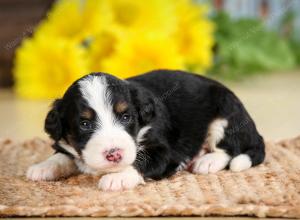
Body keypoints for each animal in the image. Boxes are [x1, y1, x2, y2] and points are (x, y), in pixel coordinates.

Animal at [26, 70, 264, 191]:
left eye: (125, 117)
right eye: (84, 124)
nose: (114, 154)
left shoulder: (164, 151)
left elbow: (141, 161)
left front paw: (118, 178)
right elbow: (62, 155)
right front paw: (42, 167)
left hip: (225, 114)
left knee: (229, 149)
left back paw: (207, 161)